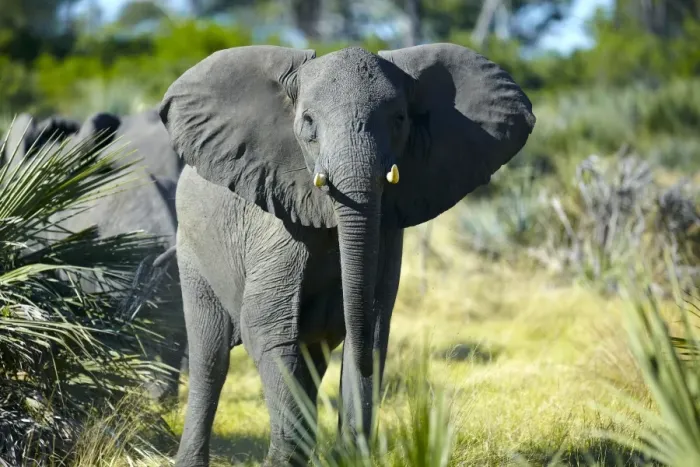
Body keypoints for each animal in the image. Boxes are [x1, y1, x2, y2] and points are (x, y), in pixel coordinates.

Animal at [158, 43, 536, 466]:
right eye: (307, 121)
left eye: (399, 119)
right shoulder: (277, 225)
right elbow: (269, 330)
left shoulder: (387, 231)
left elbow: (372, 331)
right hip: (191, 250)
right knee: (211, 358)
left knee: (311, 357)